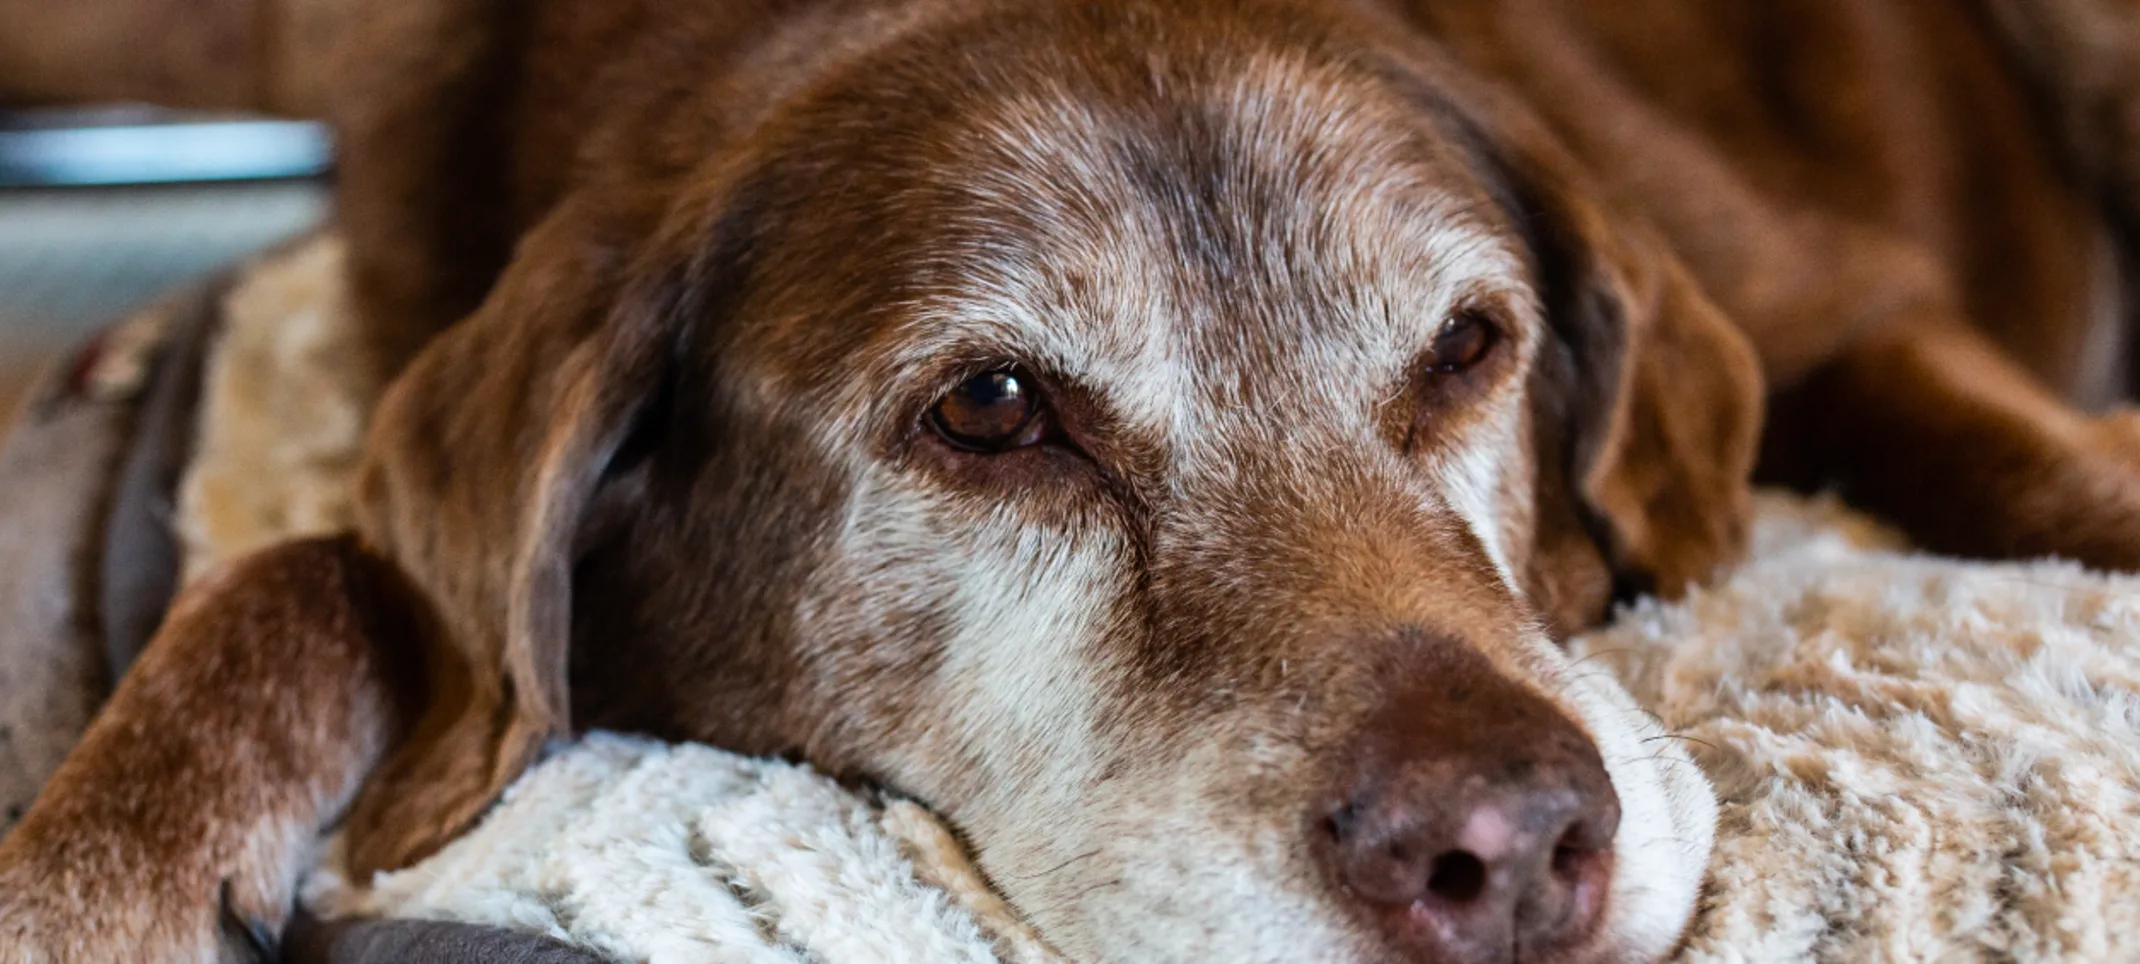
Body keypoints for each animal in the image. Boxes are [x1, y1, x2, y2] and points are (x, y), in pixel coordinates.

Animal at [4, 1, 2140, 964]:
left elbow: (2023, 460)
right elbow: (316, 569)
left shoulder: (1845, 305)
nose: (1515, 845)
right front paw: (91, 874)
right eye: (994, 407)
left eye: (1470, 345)